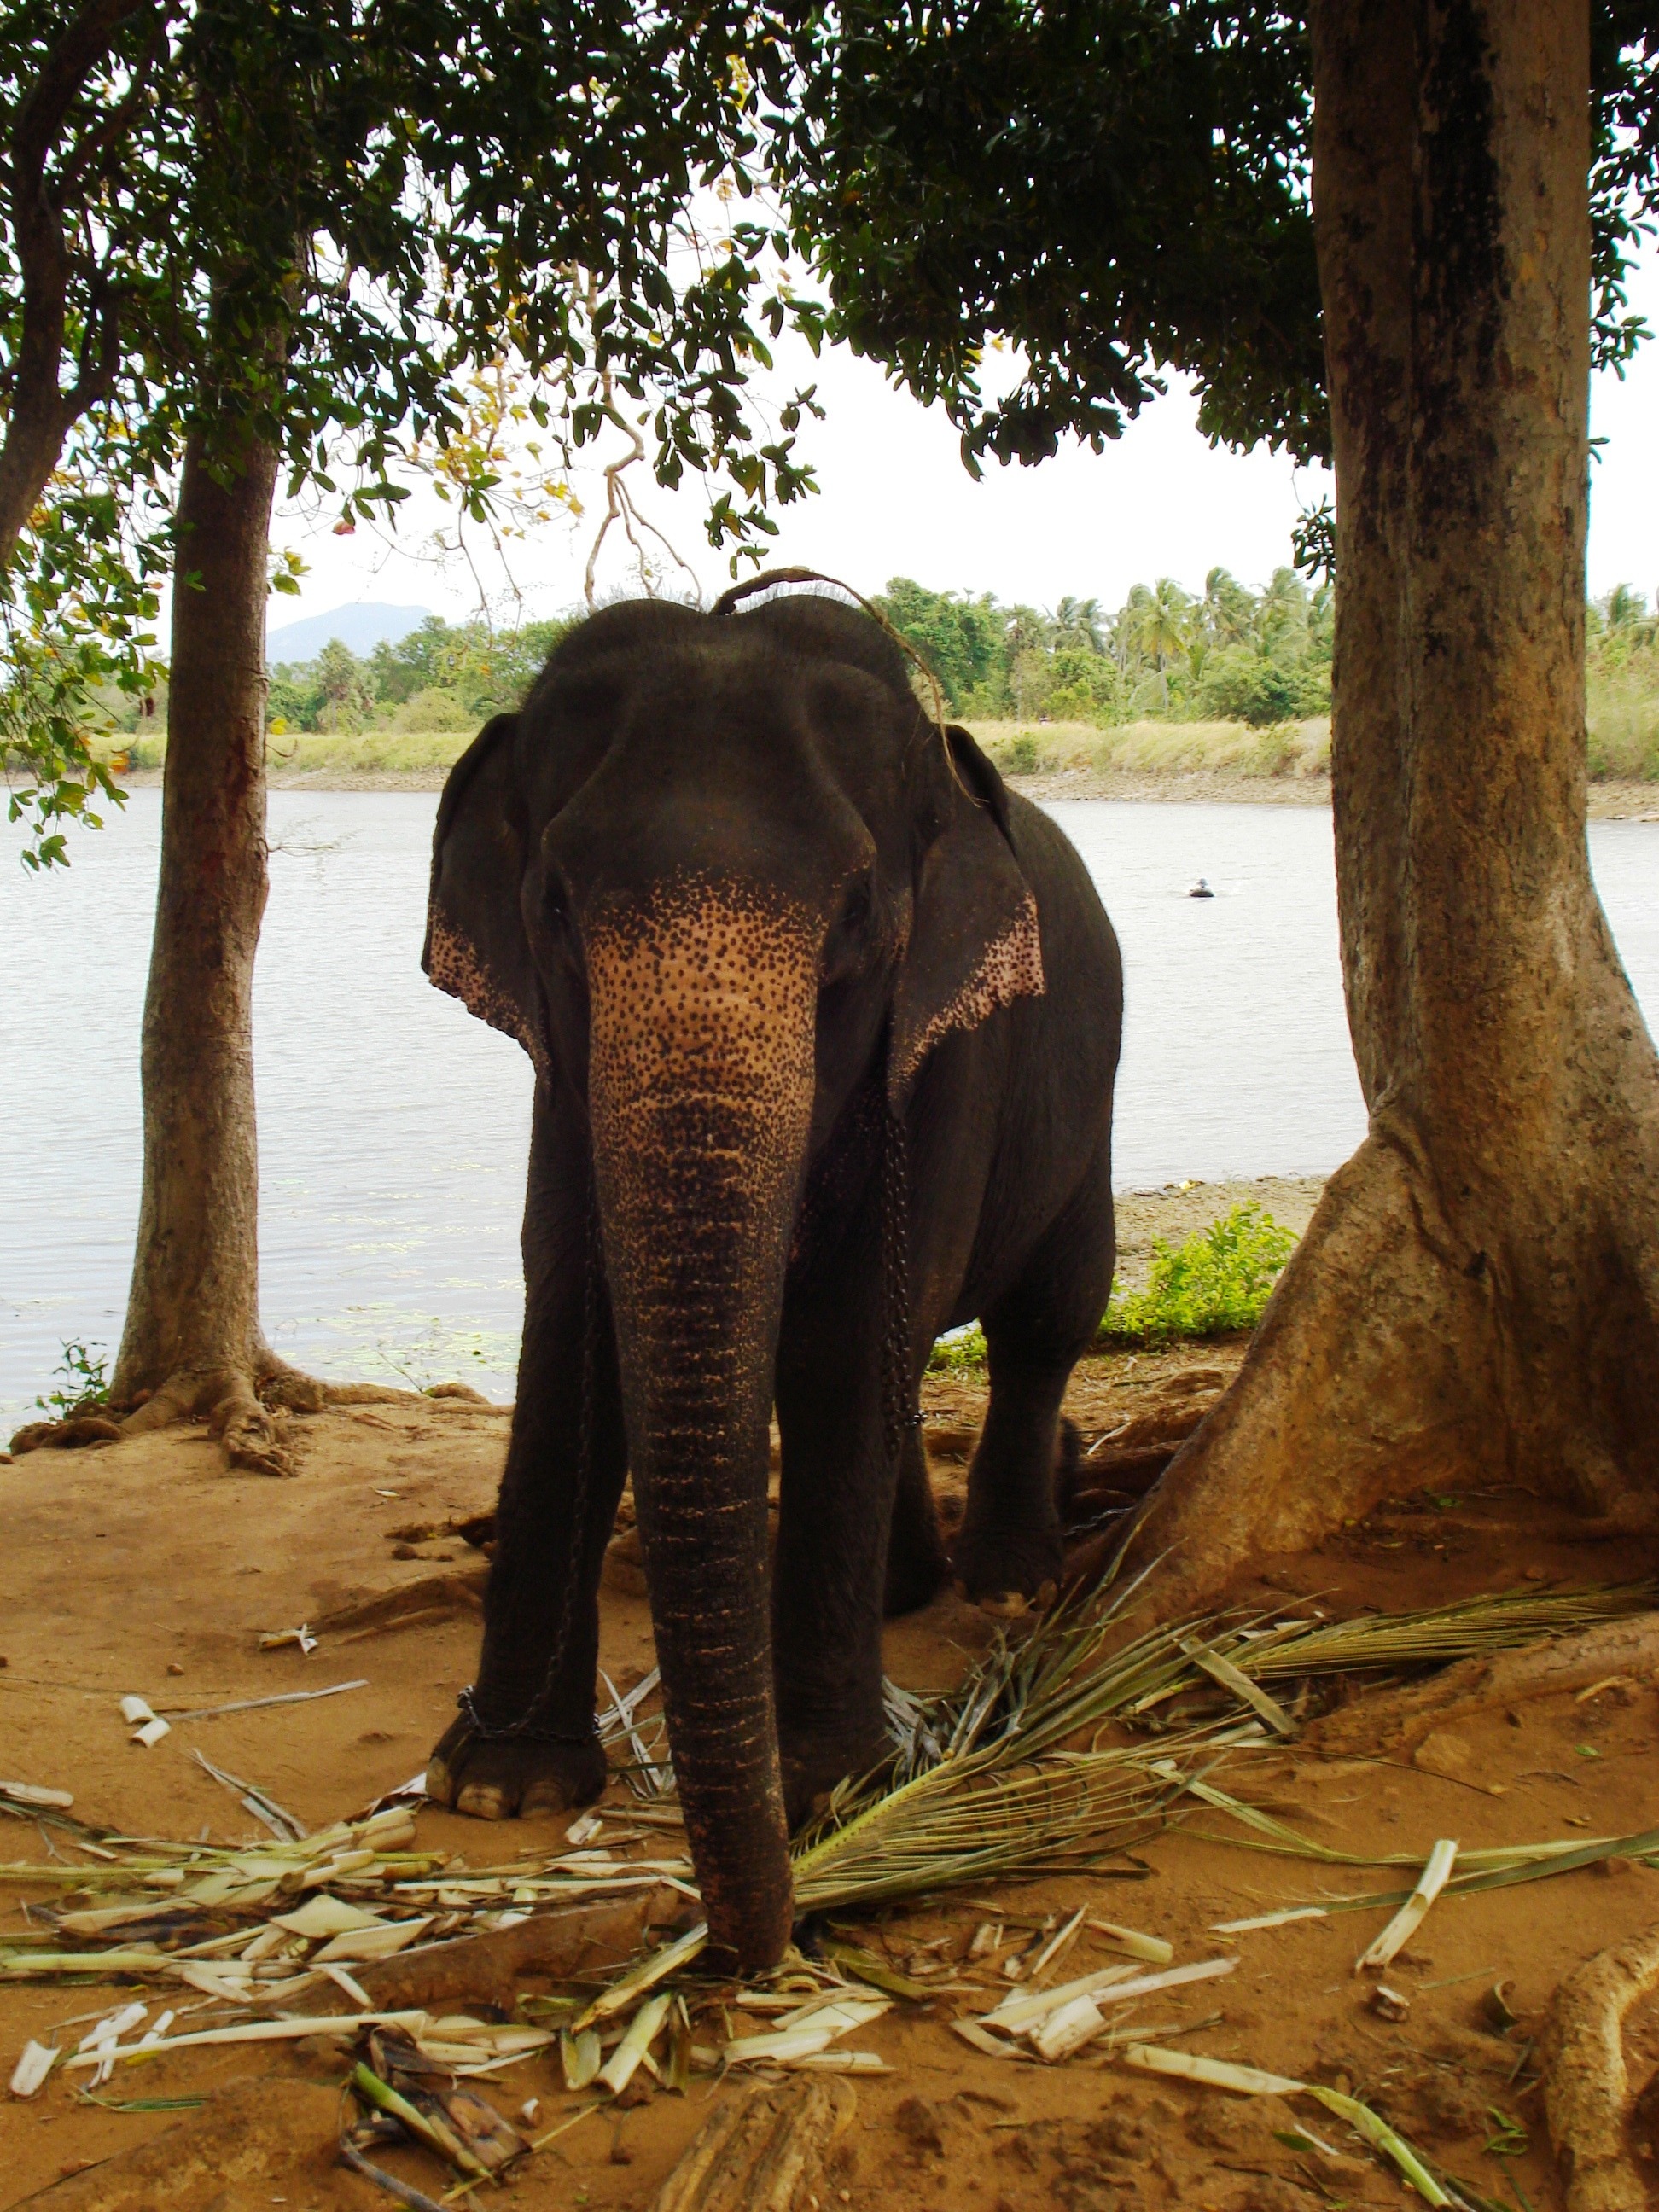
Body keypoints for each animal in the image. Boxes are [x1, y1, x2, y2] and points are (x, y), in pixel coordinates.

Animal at [421, 583, 1123, 1972]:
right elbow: (569, 1324)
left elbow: (851, 1338)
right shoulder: (560, 1077)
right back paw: (910, 1589)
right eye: (557, 908)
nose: (758, 1943)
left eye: (856, 913)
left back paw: (1010, 1581)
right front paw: (499, 1787)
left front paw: (838, 1787)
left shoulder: (948, 1047)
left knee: (1044, 1319)